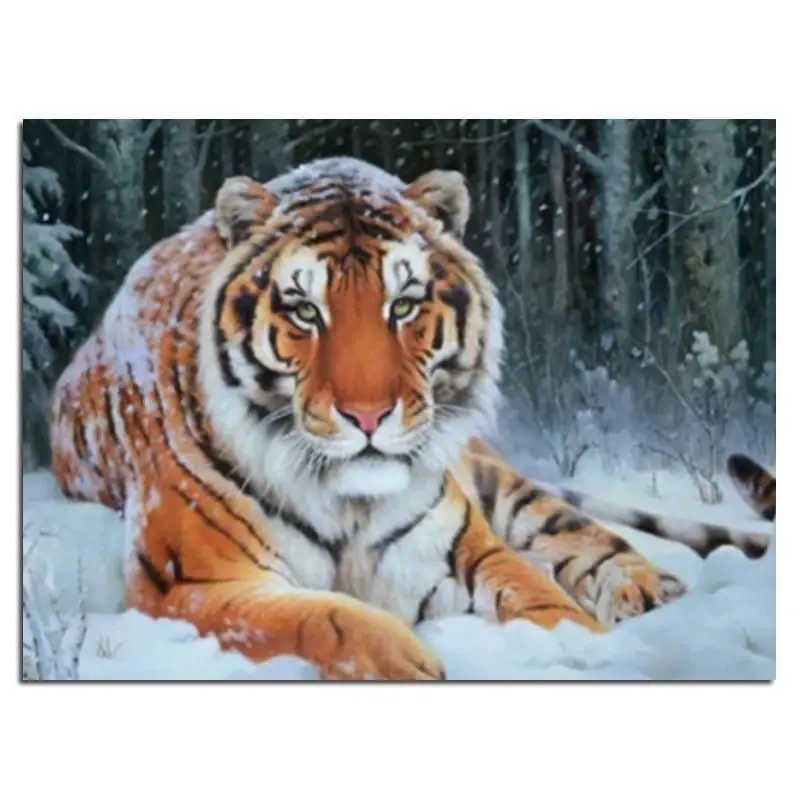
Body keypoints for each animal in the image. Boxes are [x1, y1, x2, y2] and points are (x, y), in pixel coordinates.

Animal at [50, 156, 689, 680]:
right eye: (306, 311)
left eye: (402, 305)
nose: (368, 416)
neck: (347, 504)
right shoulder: (188, 583)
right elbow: (317, 617)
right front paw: (408, 662)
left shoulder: (461, 548)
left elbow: (543, 599)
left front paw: (588, 650)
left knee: (575, 529)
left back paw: (651, 591)